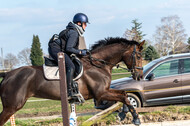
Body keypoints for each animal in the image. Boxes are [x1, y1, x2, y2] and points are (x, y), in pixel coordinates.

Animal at [0, 37, 144, 125]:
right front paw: (136, 118)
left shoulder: (105, 91)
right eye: (138, 56)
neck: (98, 64)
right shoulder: (100, 93)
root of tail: (7, 75)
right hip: (12, 106)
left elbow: (124, 94)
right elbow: (124, 96)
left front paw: (123, 114)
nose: (140, 76)